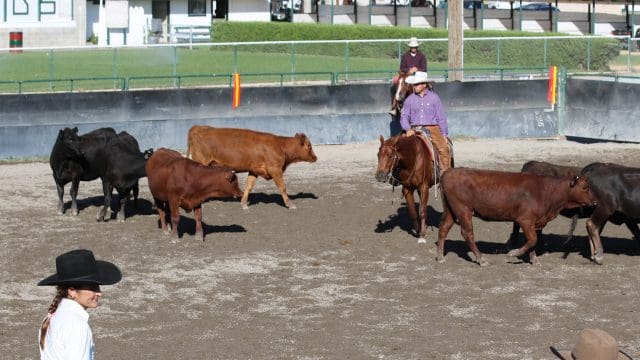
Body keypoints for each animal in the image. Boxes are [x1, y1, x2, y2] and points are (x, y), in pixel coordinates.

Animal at [185, 125, 318, 210]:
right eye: (309, 146)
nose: (315, 157)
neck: (280, 146)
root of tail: (198, 127)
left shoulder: (254, 171)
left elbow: (248, 187)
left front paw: (244, 204)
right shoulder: (275, 170)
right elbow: (282, 187)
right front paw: (290, 204)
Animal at [436, 167, 596, 266]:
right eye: (585, 188)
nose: (594, 201)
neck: (547, 191)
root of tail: (448, 173)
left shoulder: (536, 222)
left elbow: (534, 241)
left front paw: (534, 260)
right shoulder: (524, 220)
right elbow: (533, 239)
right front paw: (513, 253)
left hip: (451, 210)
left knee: (444, 228)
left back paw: (440, 256)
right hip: (463, 210)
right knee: (467, 233)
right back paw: (481, 259)